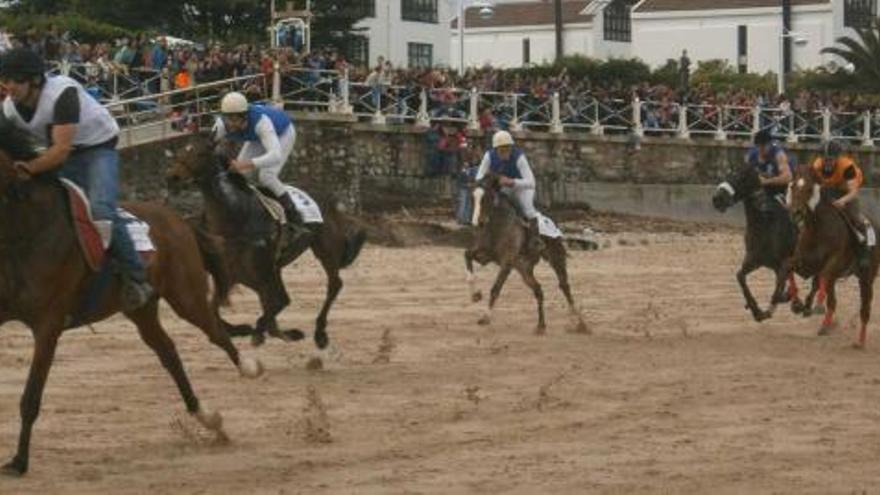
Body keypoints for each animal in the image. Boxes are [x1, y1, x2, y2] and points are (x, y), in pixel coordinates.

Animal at [0, 126, 262, 474]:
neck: (25, 229)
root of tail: (178, 219)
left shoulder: (49, 324)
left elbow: (30, 397)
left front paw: (19, 461)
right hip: (142, 311)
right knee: (169, 353)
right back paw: (206, 416)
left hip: (186, 295)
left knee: (215, 331)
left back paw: (247, 368)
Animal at [164, 136, 364, 350]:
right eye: (180, 151)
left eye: (200, 153)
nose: (172, 177)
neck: (235, 215)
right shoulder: (233, 274)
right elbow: (215, 309)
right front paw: (244, 329)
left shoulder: (259, 272)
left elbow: (278, 303)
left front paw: (258, 332)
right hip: (275, 268)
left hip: (325, 249)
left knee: (333, 284)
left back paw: (319, 333)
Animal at [464, 172, 588, 336]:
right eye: (472, 197)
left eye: (489, 196)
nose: (478, 222)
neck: (497, 226)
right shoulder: (484, 255)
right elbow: (467, 256)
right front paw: (475, 295)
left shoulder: (507, 263)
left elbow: (495, 288)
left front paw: (485, 317)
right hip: (524, 268)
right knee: (538, 289)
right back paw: (541, 326)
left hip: (556, 258)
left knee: (564, 286)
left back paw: (579, 322)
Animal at [712, 163, 808, 322]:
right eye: (726, 174)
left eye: (742, 176)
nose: (717, 199)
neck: (764, 224)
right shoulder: (754, 260)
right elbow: (740, 277)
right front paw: (756, 310)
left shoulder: (782, 263)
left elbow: (777, 290)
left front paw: (768, 310)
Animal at [776, 165, 880, 346]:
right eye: (793, 186)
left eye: (809, 189)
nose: (796, 213)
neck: (818, 229)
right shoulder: (804, 263)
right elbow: (788, 266)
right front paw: (797, 303)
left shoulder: (834, 262)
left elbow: (824, 277)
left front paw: (815, 305)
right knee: (832, 299)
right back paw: (825, 324)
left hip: (867, 276)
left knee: (864, 307)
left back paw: (860, 342)